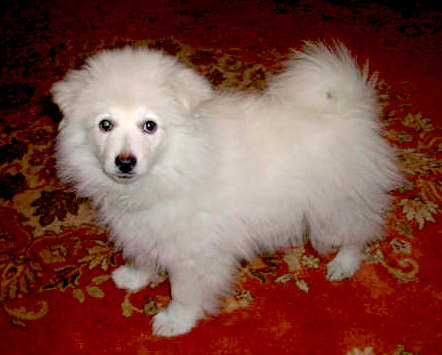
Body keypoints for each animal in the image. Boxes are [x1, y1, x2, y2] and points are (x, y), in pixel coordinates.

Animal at [51, 43, 400, 338]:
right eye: (105, 125)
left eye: (149, 126)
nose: (125, 162)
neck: (173, 166)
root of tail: (349, 110)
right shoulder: (144, 228)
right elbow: (143, 255)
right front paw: (135, 277)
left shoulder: (193, 252)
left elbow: (183, 292)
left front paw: (175, 322)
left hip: (336, 203)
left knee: (358, 230)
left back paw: (344, 263)